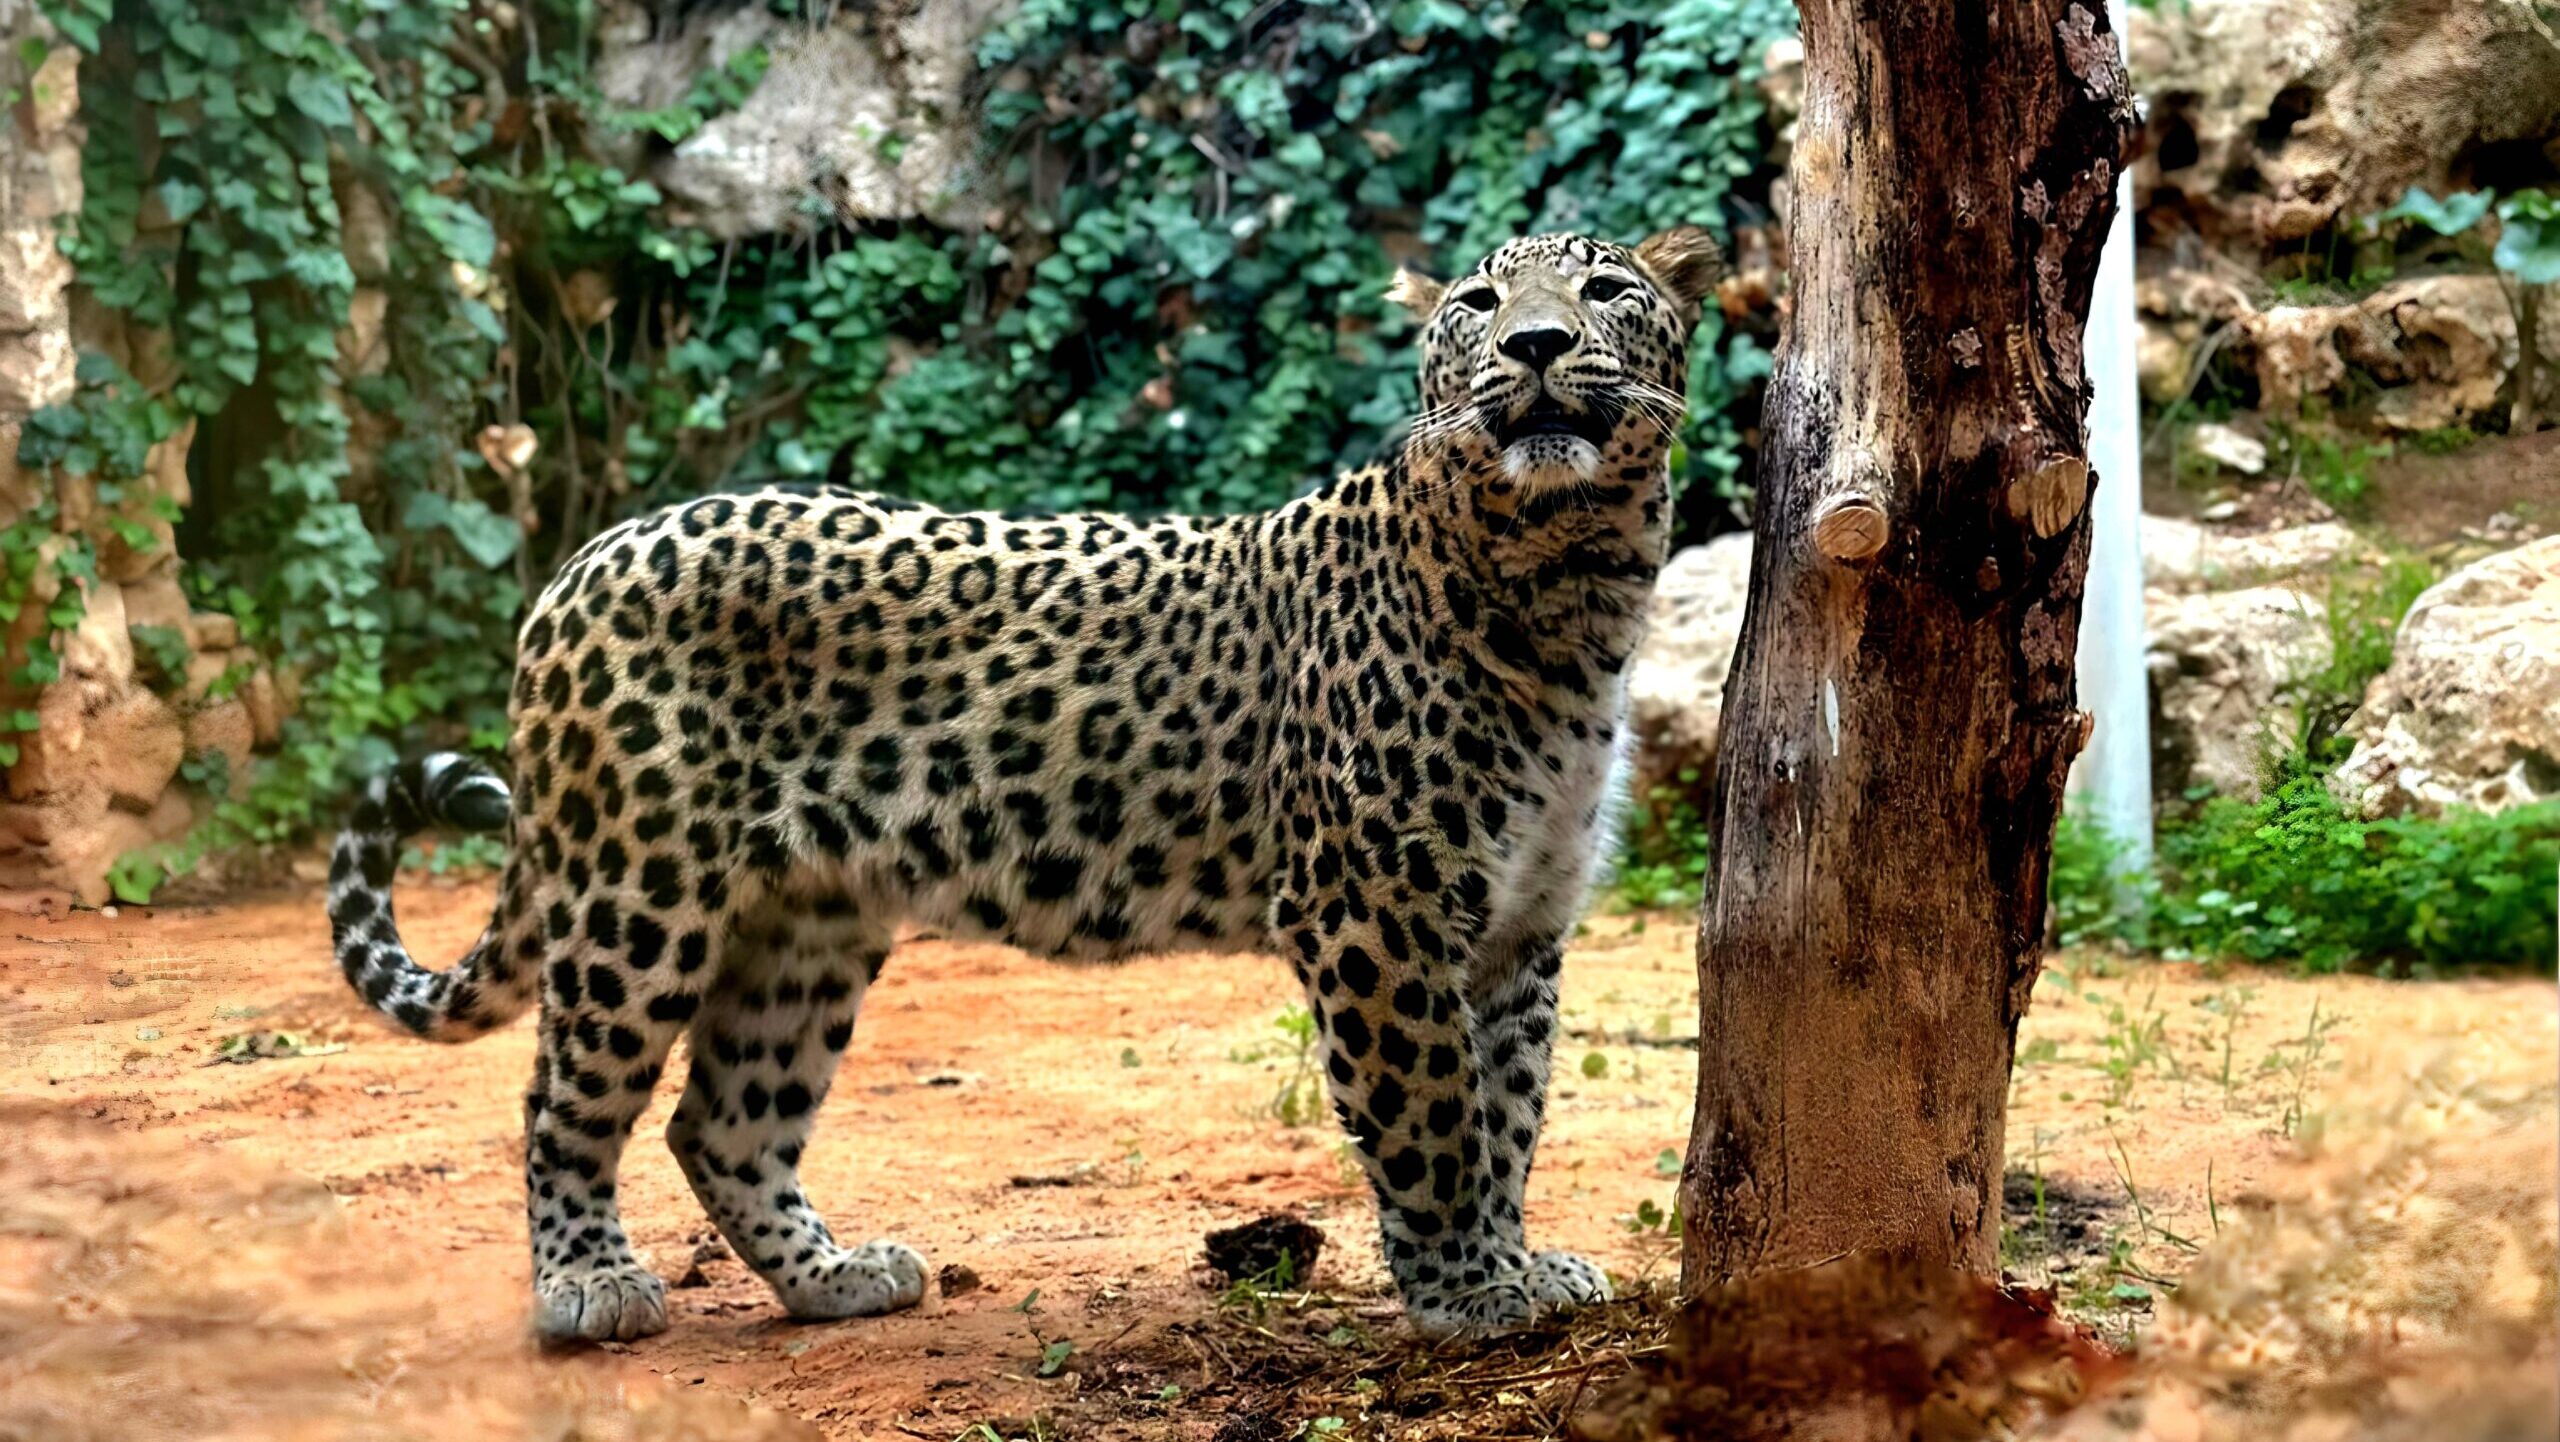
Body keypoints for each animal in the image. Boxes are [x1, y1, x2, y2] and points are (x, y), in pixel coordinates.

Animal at [320, 222, 1720, 1342]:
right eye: (1480, 303)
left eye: (1603, 286)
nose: (1537, 343)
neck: (1571, 588)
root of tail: (584, 558)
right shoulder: (1372, 907)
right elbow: (1433, 1111)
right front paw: (1466, 1297)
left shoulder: (1520, 923)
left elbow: (1510, 1111)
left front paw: (1517, 1261)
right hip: (637, 891)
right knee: (563, 1098)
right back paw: (586, 1287)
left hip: (807, 919)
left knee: (720, 1119)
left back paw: (835, 1278)